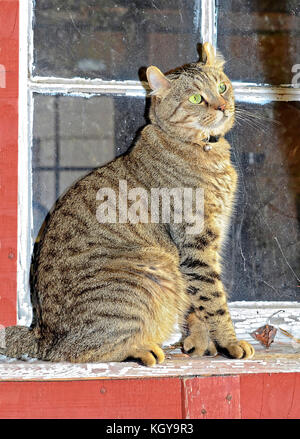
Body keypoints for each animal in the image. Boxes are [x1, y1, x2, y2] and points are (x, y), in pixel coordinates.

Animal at [2, 43, 255, 368]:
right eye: (196, 98)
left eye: (222, 87)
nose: (223, 106)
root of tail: (40, 334)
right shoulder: (196, 243)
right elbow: (214, 300)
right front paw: (230, 342)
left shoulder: (200, 250)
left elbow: (196, 305)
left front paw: (200, 345)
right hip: (150, 271)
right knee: (80, 351)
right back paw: (142, 349)